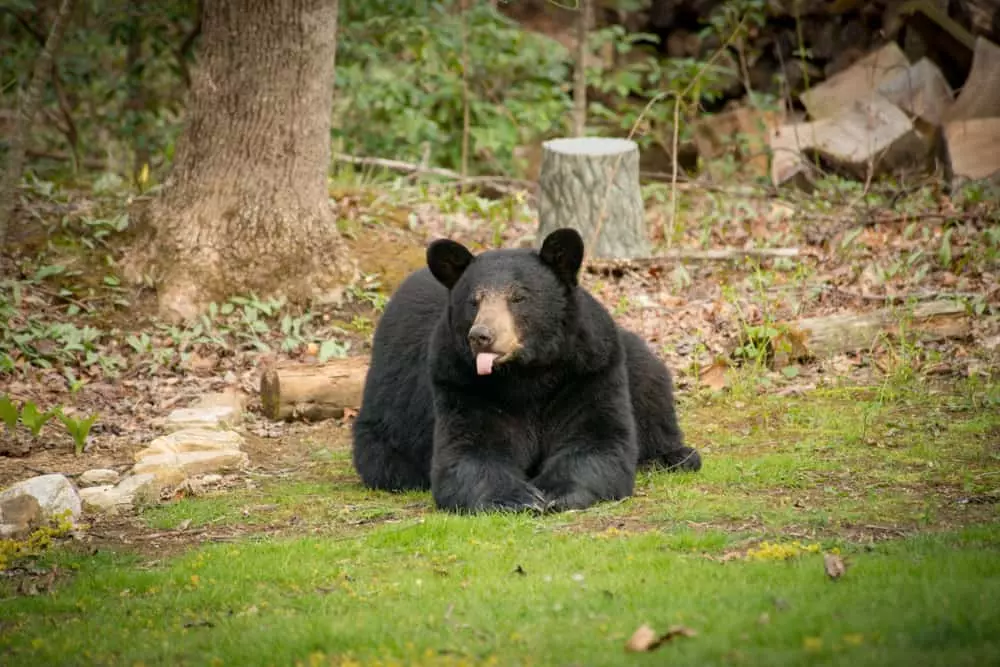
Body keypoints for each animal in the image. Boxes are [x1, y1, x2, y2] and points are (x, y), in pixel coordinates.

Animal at [351, 227, 701, 513]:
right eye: (474, 301)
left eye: (518, 297)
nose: (481, 336)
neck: (527, 374)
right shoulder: (459, 382)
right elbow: (468, 453)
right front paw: (516, 498)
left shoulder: (587, 371)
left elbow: (597, 441)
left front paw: (555, 491)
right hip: (386, 422)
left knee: (648, 377)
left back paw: (674, 456)